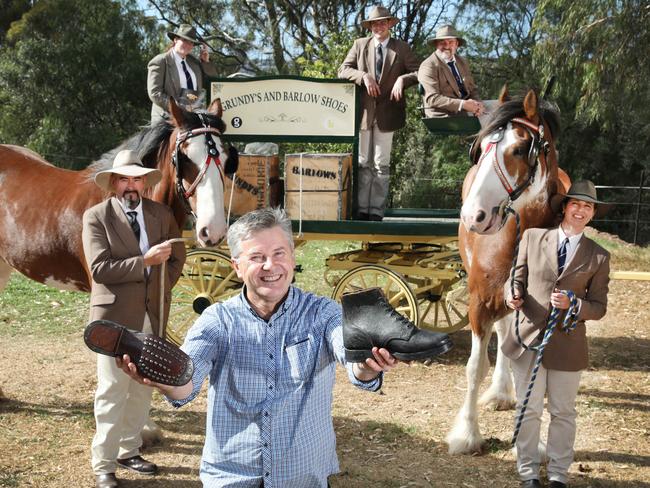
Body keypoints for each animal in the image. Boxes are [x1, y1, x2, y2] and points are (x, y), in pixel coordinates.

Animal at [446, 88, 568, 454]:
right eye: (482, 148)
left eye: (517, 149)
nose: (473, 215)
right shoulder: (480, 303)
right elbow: (475, 367)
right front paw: (467, 434)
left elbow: (534, 374)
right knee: (501, 335)